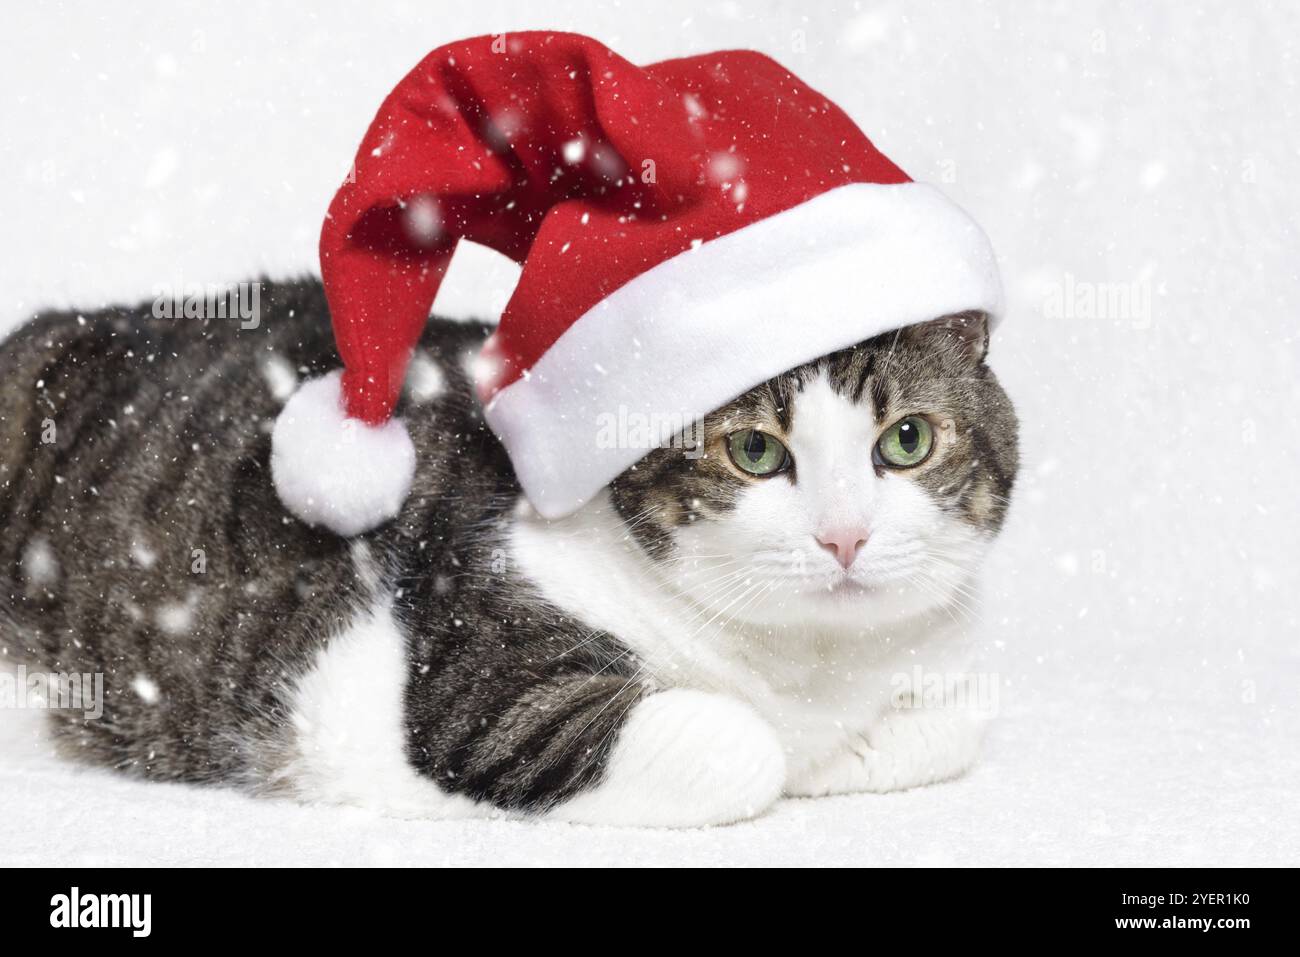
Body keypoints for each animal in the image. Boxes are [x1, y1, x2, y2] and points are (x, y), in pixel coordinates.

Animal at [0, 278, 1013, 832]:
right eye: (755, 451)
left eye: (909, 440)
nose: (845, 534)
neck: (809, 662)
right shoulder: (486, 680)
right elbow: (742, 744)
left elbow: (949, 722)